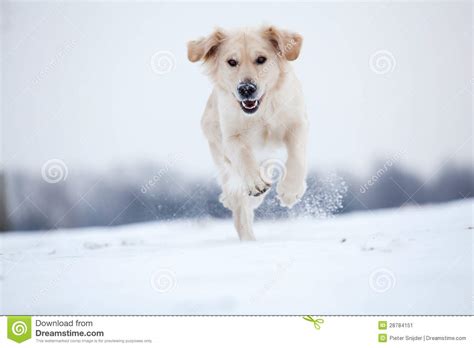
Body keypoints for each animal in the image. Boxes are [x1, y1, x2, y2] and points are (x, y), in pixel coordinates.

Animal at [187, 25, 310, 241]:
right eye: (232, 62)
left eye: (261, 59)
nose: (246, 89)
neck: (261, 111)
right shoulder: (231, 137)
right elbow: (243, 156)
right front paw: (255, 183)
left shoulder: (296, 122)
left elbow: (297, 156)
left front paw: (290, 190)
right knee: (240, 213)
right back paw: (248, 239)